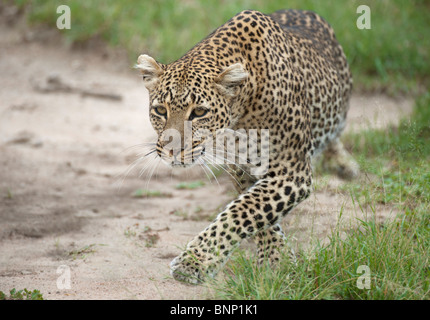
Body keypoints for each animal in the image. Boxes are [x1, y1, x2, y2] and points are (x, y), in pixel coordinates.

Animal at [135, 8, 360, 284]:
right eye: (160, 110)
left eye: (199, 112)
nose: (172, 151)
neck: (243, 110)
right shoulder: (242, 168)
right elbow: (256, 213)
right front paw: (276, 256)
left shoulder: (291, 171)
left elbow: (242, 212)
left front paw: (194, 261)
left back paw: (343, 164)